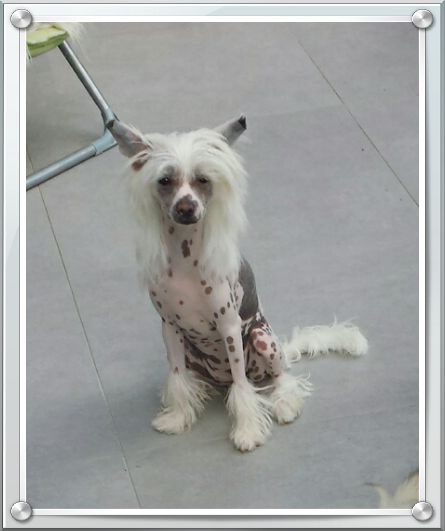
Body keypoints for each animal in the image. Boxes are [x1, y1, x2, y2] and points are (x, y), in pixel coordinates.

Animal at [109, 115, 368, 452]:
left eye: (202, 179)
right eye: (165, 181)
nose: (186, 208)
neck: (185, 259)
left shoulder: (229, 326)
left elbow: (242, 386)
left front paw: (247, 431)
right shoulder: (170, 327)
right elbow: (176, 377)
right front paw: (177, 418)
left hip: (262, 339)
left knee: (279, 377)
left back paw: (285, 404)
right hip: (193, 353)